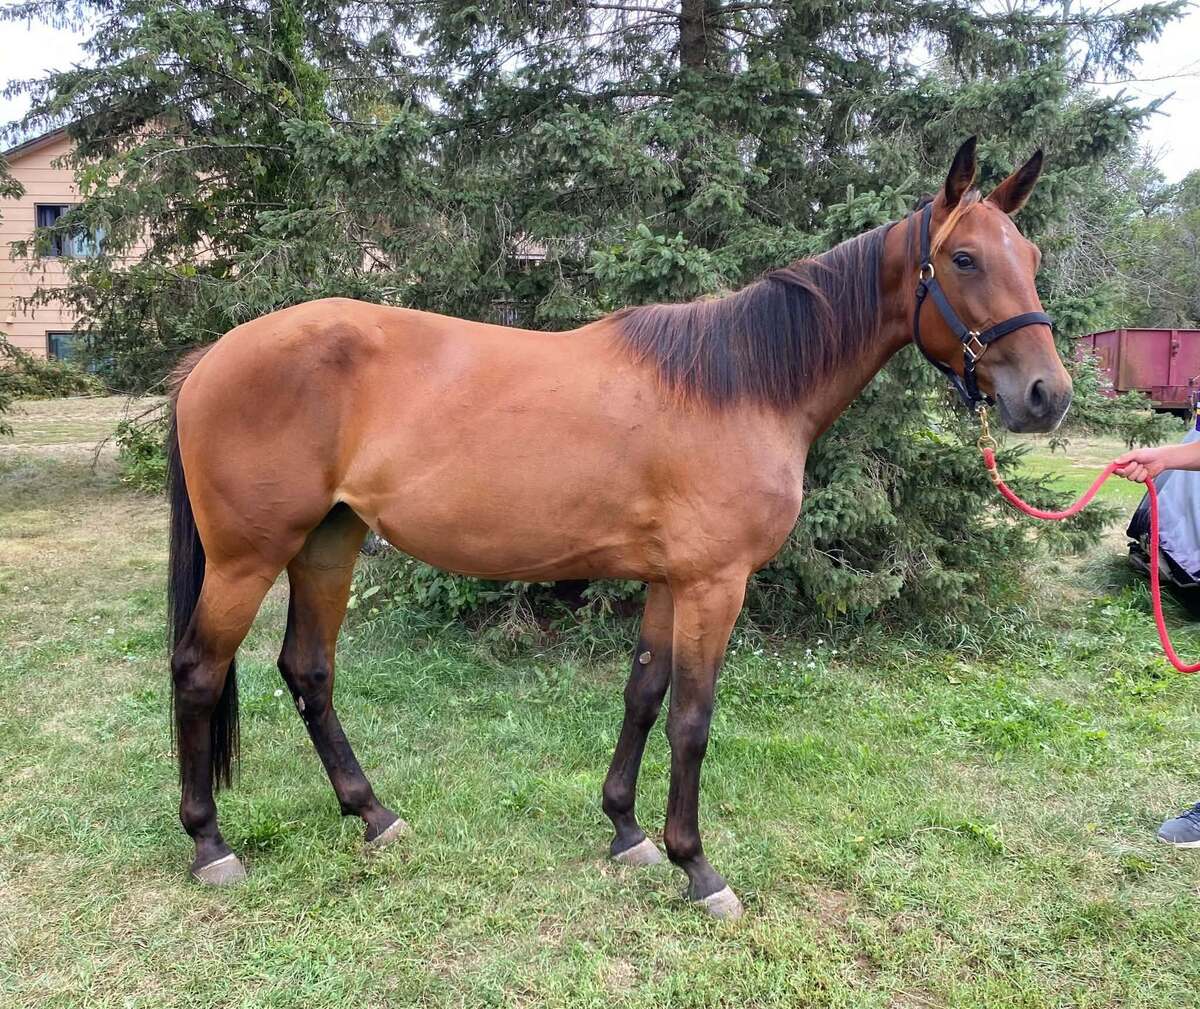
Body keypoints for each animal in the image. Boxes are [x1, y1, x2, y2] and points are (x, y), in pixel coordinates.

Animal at [166, 137, 1071, 919]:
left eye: (1029, 259)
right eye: (964, 259)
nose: (1047, 395)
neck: (741, 384)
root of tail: (212, 359)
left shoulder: (670, 580)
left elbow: (642, 695)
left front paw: (628, 831)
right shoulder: (714, 584)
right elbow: (692, 720)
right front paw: (697, 865)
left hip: (330, 541)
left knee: (308, 670)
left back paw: (373, 813)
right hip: (248, 557)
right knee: (198, 671)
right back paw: (211, 844)